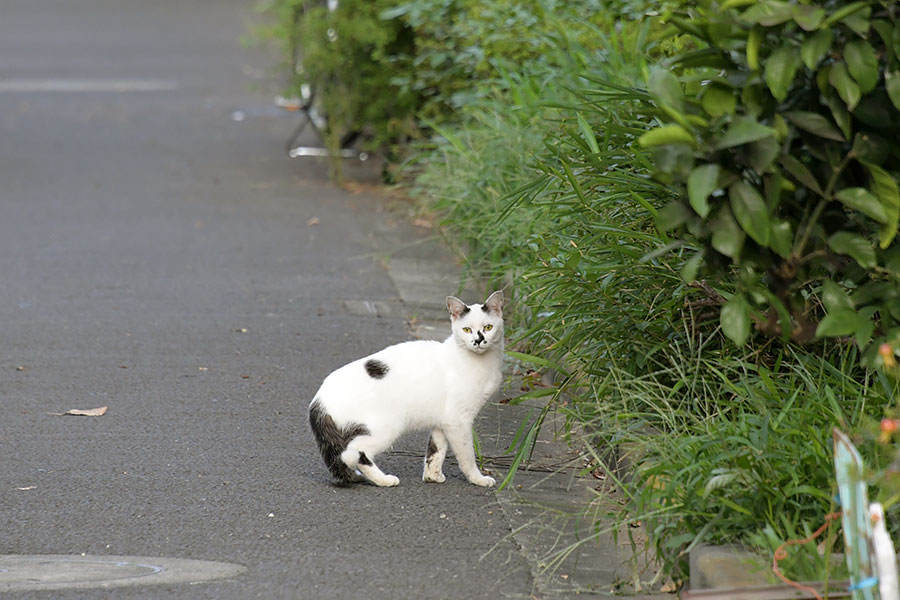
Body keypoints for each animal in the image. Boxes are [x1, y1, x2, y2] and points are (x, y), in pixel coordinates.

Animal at [310, 290, 506, 488]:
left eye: (488, 327)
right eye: (466, 329)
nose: (478, 340)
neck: (481, 363)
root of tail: (318, 401)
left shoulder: (444, 420)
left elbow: (436, 450)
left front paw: (432, 477)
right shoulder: (458, 421)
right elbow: (467, 456)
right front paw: (478, 479)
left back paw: (356, 476)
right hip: (388, 425)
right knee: (352, 453)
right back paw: (384, 480)